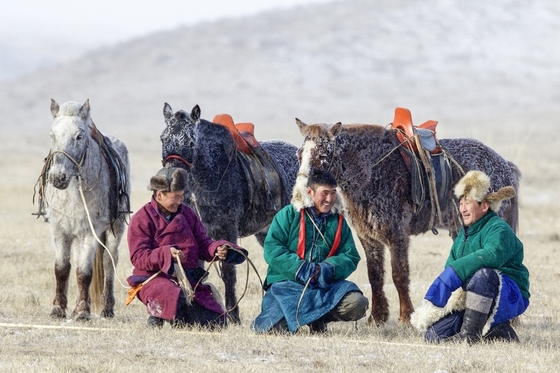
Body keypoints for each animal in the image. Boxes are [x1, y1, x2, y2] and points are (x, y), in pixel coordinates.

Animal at [35, 99, 131, 320]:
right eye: (52, 135)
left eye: (79, 136)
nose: (58, 177)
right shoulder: (59, 231)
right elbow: (62, 269)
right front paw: (58, 309)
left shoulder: (89, 232)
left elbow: (84, 271)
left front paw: (82, 311)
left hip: (115, 228)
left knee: (109, 261)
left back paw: (106, 308)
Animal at [160, 103, 300, 322]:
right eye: (163, 138)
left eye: (191, 141)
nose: (171, 177)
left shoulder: (227, 230)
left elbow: (228, 273)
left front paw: (233, 315)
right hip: (266, 231)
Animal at [298, 117, 520, 324]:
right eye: (299, 154)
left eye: (323, 155)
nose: (303, 190)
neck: (372, 171)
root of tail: (504, 165)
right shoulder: (368, 237)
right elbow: (375, 275)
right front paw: (376, 317)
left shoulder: (397, 234)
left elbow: (399, 274)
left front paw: (406, 317)